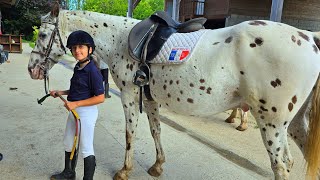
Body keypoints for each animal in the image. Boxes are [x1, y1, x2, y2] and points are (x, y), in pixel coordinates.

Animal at [28, 2, 320, 180]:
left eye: (42, 36)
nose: (32, 69)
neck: (120, 39)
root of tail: (308, 37)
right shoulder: (150, 99)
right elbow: (155, 130)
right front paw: (157, 166)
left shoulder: (129, 95)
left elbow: (130, 133)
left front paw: (124, 170)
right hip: (294, 124)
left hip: (272, 123)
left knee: (280, 165)